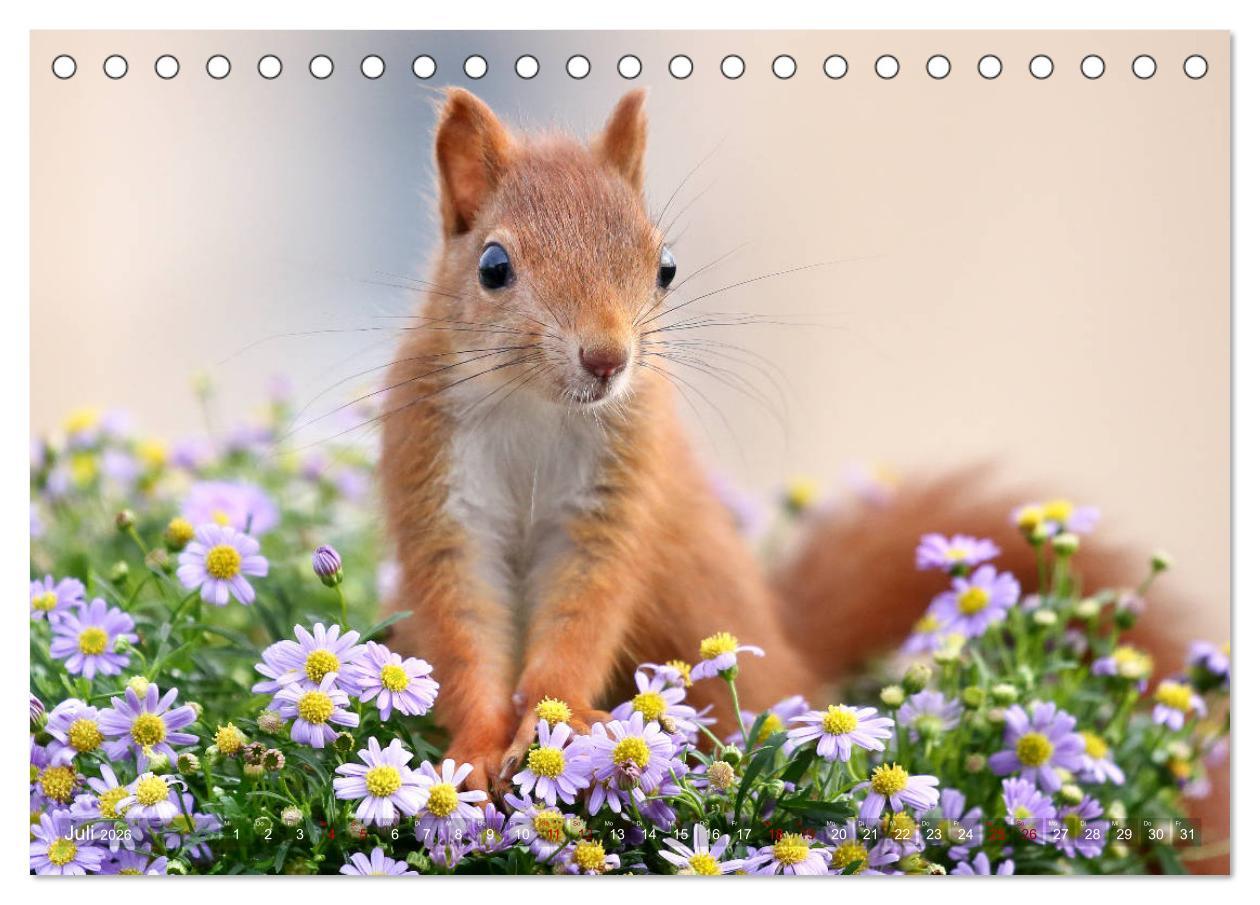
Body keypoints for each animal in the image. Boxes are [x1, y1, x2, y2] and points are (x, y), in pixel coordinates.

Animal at [379, 90, 1225, 868]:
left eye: (665, 265)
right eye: (493, 267)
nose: (607, 358)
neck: (536, 406)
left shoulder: (616, 497)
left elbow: (584, 615)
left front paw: (558, 721)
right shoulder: (437, 489)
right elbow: (462, 632)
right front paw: (476, 749)